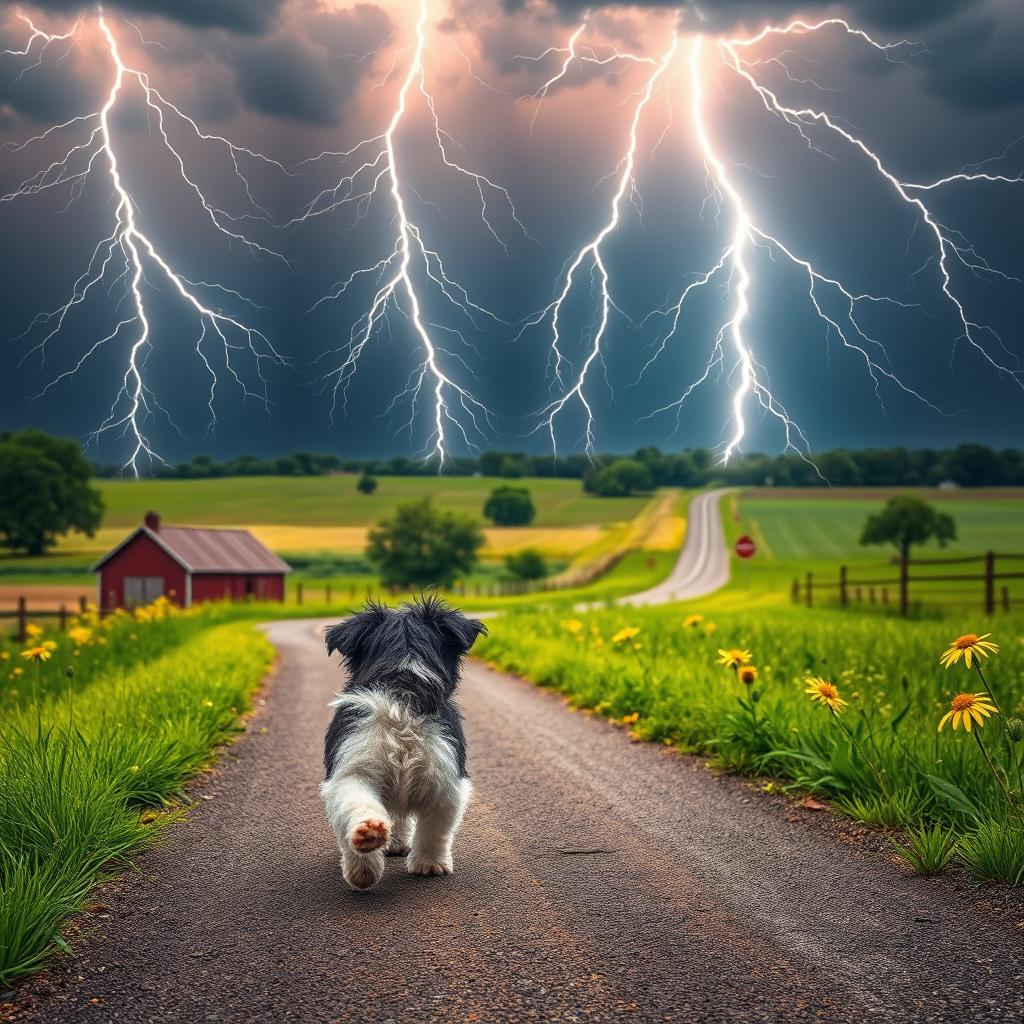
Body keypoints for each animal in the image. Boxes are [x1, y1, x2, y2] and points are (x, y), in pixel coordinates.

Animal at [319, 598, 487, 892]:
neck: (402, 688)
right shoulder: (351, 771)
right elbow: (356, 804)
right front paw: (365, 852)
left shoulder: (446, 780)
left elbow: (434, 830)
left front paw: (429, 863)